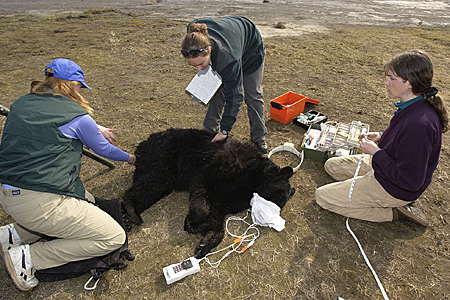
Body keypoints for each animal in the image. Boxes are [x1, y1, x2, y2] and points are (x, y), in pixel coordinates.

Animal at [122, 127, 296, 256]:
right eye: (279, 198)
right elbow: (202, 201)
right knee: (152, 182)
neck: (253, 177)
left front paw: (205, 242)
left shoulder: (225, 197)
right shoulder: (210, 171)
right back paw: (131, 209)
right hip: (163, 159)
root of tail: (143, 144)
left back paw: (125, 218)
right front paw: (192, 221)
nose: (271, 219)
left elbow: (216, 217)